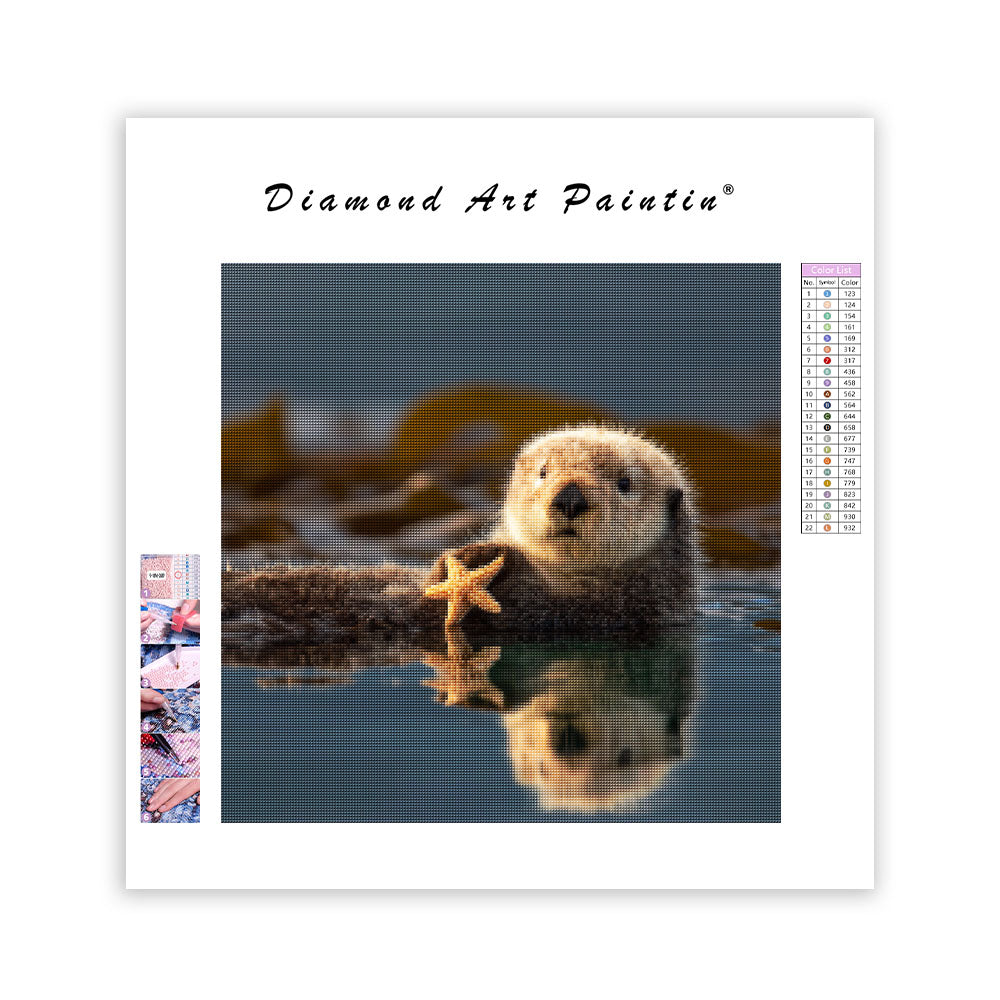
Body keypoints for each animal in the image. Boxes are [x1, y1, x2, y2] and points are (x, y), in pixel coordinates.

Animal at [222, 425, 698, 644]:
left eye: (625, 483)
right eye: (544, 472)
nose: (570, 497)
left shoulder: (606, 609)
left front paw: (482, 556)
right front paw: (470, 555)